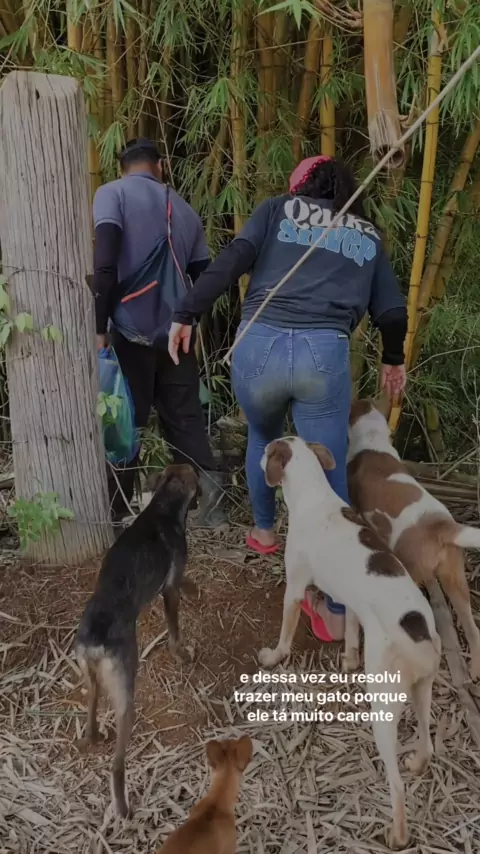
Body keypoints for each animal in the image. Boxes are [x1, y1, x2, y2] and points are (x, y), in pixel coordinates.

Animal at [75, 463, 200, 819]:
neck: (162, 507)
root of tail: (95, 638)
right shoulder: (169, 589)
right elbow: (174, 629)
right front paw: (180, 653)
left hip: (91, 677)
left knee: (91, 711)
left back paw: (93, 738)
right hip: (125, 693)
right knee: (117, 765)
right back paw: (123, 808)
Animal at [257, 437, 441, 850]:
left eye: (271, 448)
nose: (259, 452)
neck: (313, 495)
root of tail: (419, 634)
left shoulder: (295, 588)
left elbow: (285, 634)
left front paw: (273, 656)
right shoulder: (354, 605)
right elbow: (353, 636)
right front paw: (348, 661)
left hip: (384, 707)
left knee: (397, 786)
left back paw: (397, 836)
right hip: (422, 691)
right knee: (427, 740)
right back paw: (418, 763)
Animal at [348, 398, 480, 680]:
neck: (373, 439)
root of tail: (441, 528)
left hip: (413, 570)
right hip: (456, 579)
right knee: (473, 630)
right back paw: (475, 670)